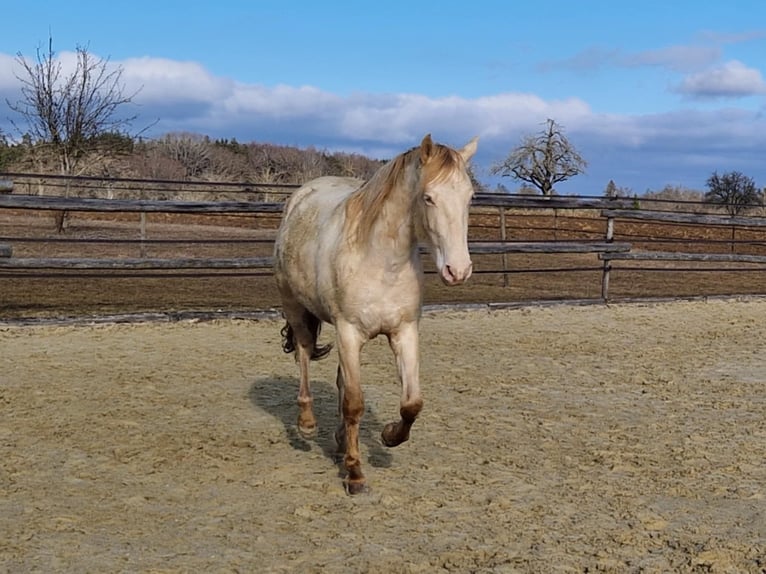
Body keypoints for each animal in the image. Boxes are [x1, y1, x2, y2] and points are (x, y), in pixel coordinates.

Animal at [273, 134, 478, 494]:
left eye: (469, 198)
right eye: (428, 198)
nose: (458, 270)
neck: (382, 261)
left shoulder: (404, 332)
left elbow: (411, 403)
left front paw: (388, 436)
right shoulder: (348, 332)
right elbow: (354, 403)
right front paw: (355, 474)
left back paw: (340, 439)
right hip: (295, 308)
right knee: (304, 353)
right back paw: (307, 424)